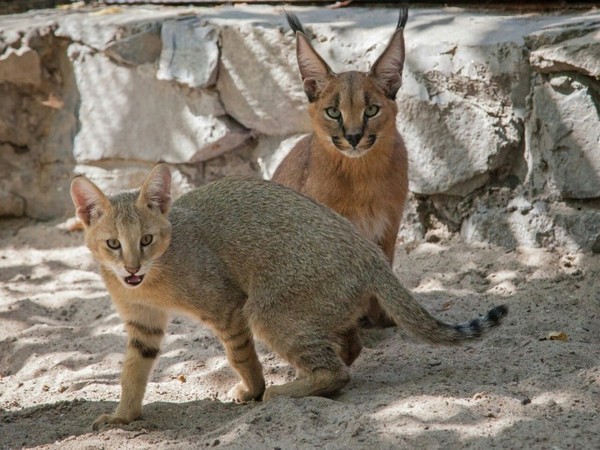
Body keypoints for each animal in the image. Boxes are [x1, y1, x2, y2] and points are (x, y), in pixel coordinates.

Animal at [72, 164, 508, 428]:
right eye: (113, 244)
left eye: (146, 240)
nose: (131, 268)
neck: (152, 282)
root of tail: (370, 252)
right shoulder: (142, 325)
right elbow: (132, 373)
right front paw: (123, 417)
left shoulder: (228, 306)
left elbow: (240, 357)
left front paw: (253, 390)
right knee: (348, 348)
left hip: (269, 312)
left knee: (337, 371)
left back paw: (282, 391)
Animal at [274, 9, 410, 326]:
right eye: (333, 112)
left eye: (371, 109)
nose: (354, 136)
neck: (362, 175)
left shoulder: (389, 227)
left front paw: (381, 318)